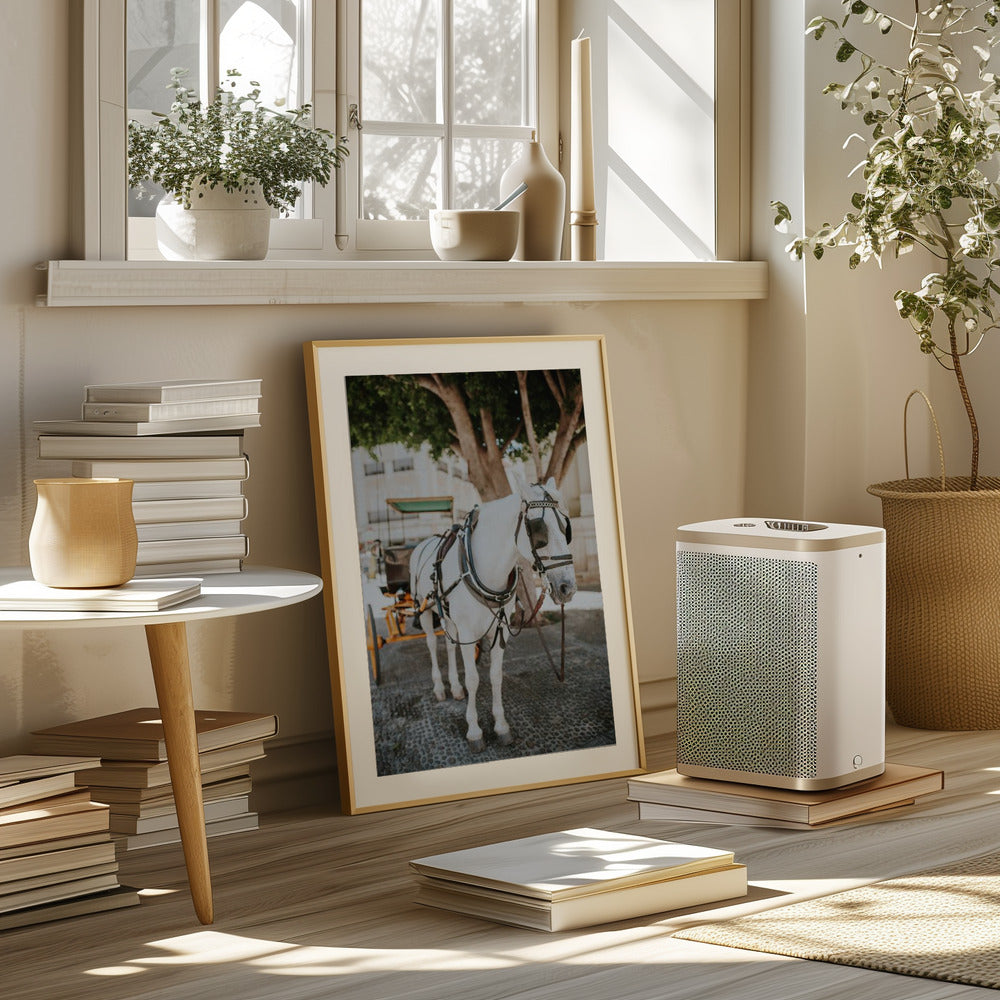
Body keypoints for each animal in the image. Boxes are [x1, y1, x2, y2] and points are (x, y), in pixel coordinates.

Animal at [409, 478, 577, 752]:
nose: (568, 588)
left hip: (450, 618)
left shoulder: (499, 630)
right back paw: (439, 688)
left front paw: (500, 726)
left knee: (449, 644)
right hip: (423, 609)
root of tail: (422, 543)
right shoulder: (468, 632)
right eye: (538, 530)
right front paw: (474, 730)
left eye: (566, 528)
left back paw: (454, 687)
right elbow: (474, 679)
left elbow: (496, 676)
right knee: (432, 644)